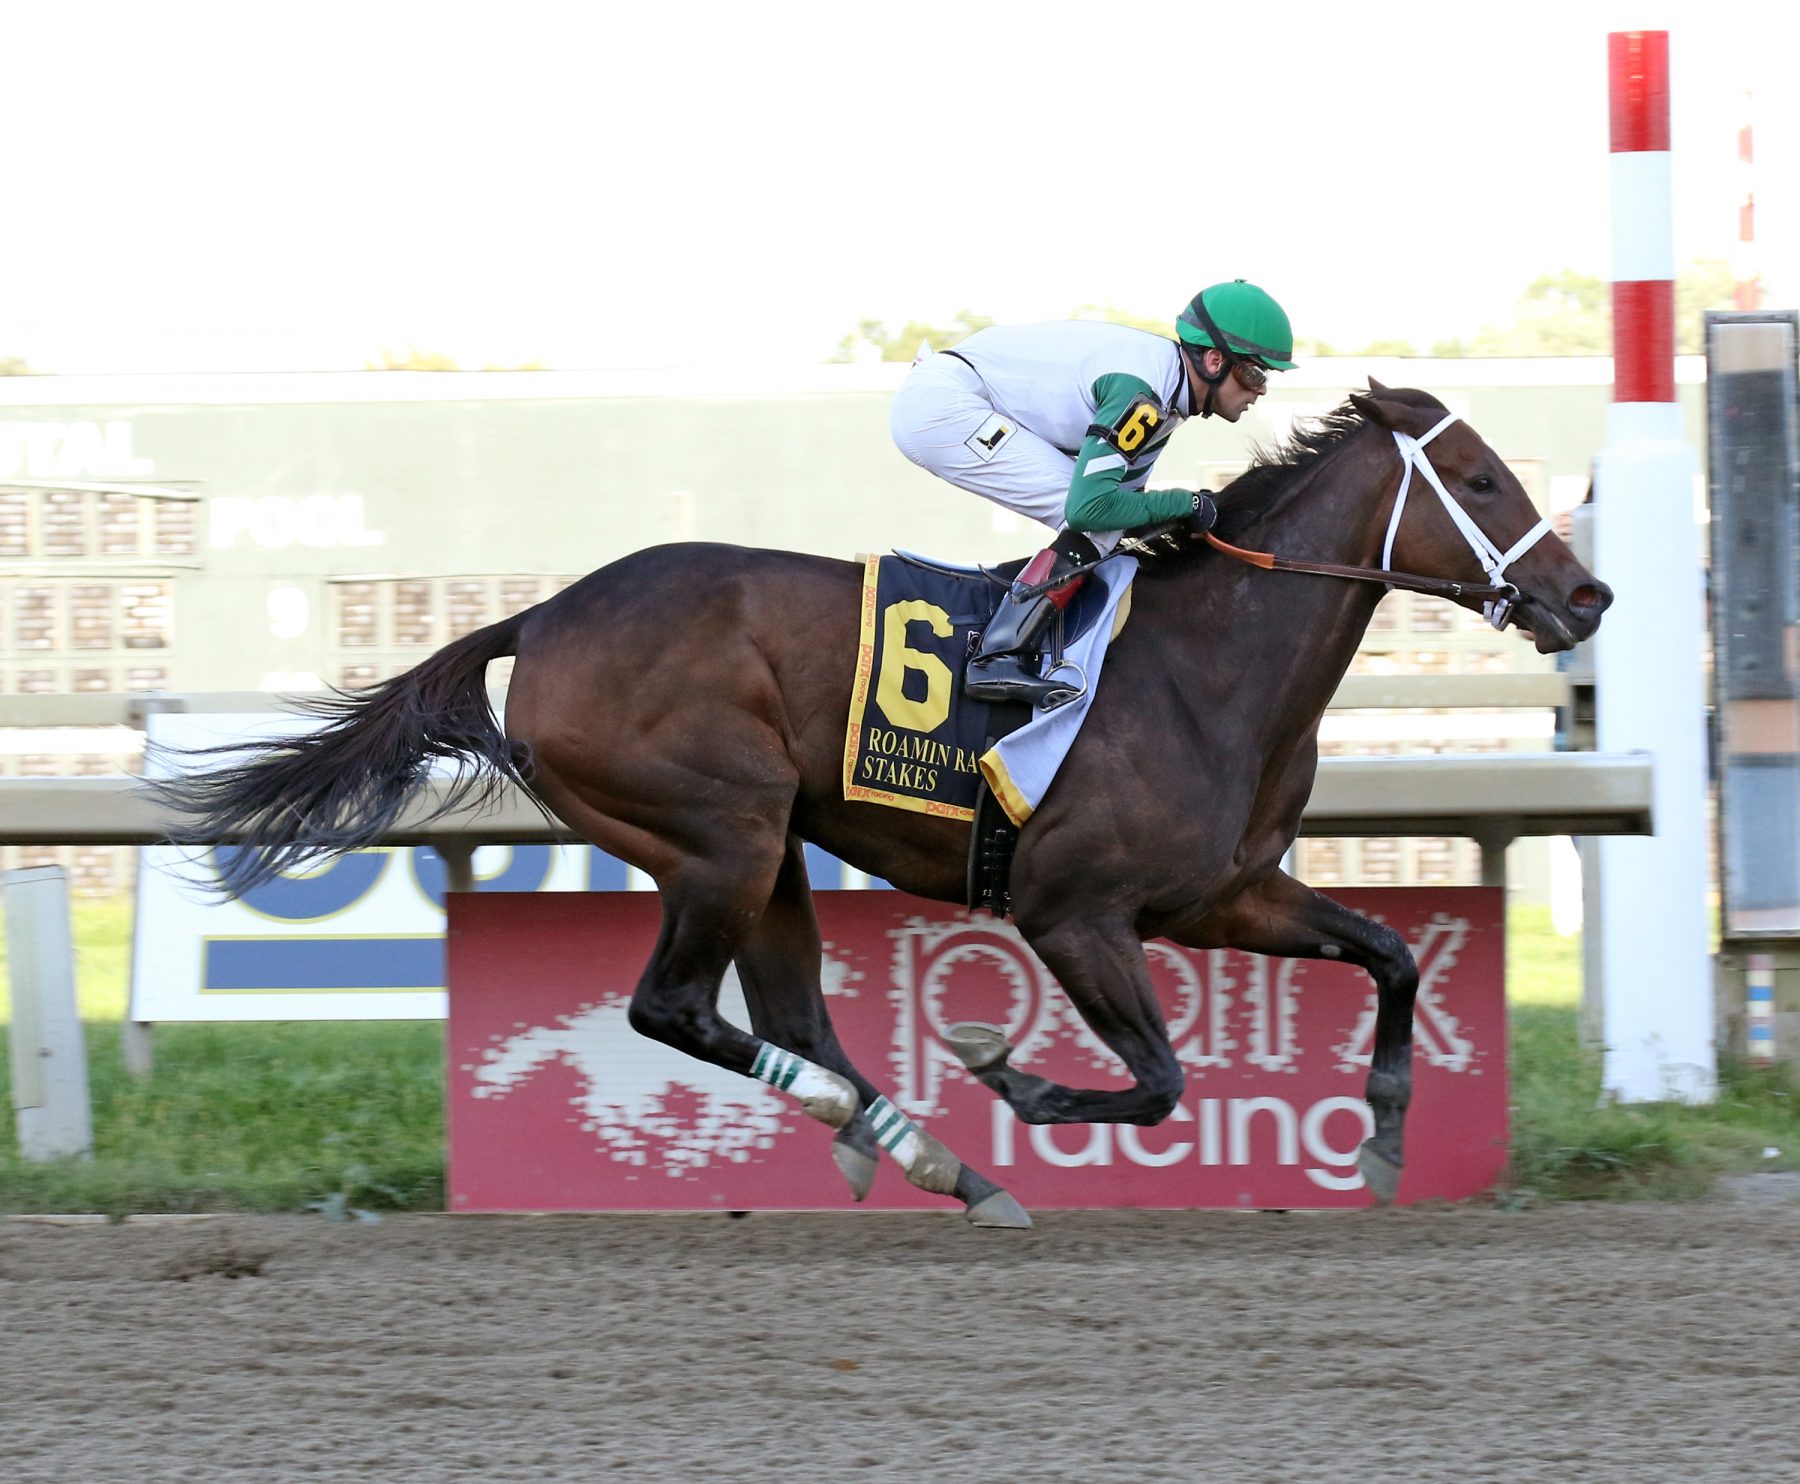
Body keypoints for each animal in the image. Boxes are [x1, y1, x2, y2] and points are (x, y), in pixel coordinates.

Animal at [158, 381, 1620, 1231]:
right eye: (1481, 481)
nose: (1587, 595)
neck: (1207, 661)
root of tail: (543, 615)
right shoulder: (1072, 909)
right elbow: (1157, 1080)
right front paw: (1008, 1071)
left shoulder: (1224, 895)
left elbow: (1388, 955)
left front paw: (1383, 1140)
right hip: (723, 830)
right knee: (675, 1009)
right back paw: (908, 1143)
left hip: (762, 853)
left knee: (787, 1012)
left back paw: (921, 1159)